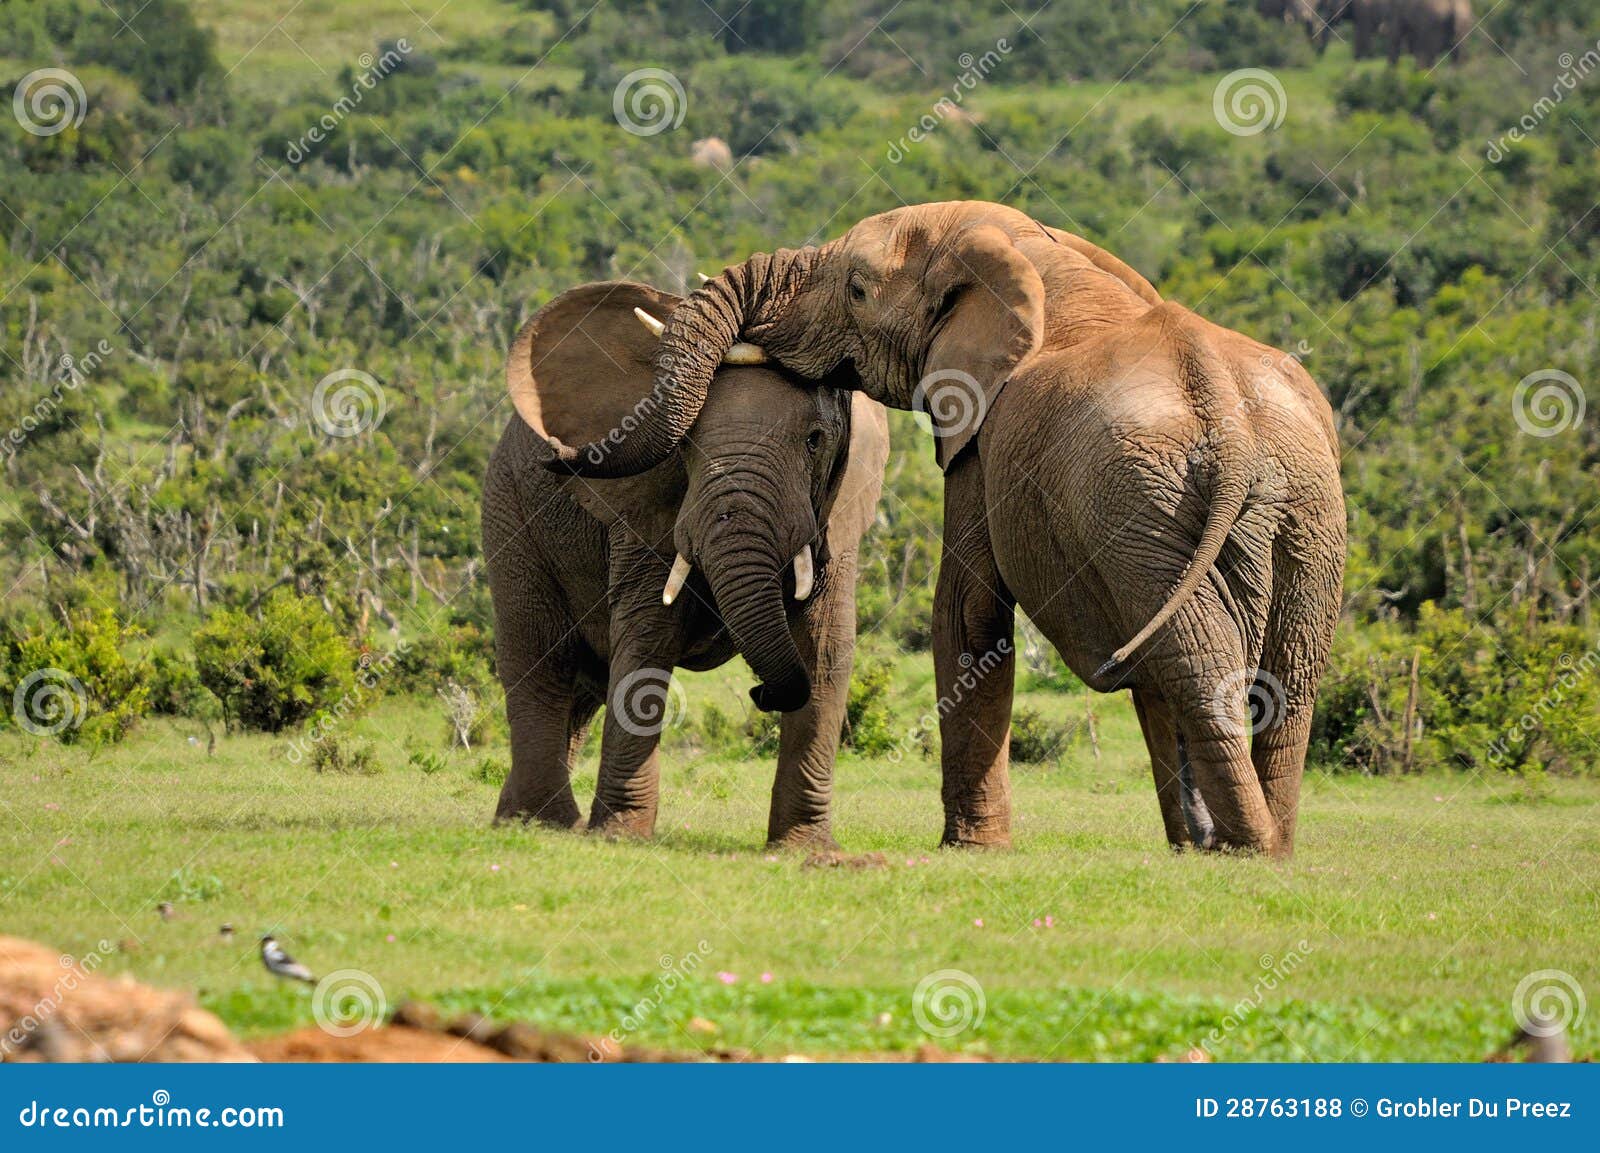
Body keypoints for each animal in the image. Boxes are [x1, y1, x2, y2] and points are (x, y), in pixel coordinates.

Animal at [480, 279, 896, 844]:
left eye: (815, 441)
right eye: (685, 446)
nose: (761, 691)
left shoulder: (838, 511)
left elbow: (827, 646)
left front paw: (806, 849)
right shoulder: (646, 510)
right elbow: (649, 636)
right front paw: (620, 837)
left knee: (583, 687)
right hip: (510, 513)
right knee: (542, 663)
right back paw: (544, 824)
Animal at [544, 204, 1344, 857]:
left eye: (856, 288)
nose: (764, 695)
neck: (1029, 248)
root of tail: (1233, 430)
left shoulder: (980, 440)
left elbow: (965, 610)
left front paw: (971, 848)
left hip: (1147, 511)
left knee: (1200, 666)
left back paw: (1244, 850)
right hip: (1301, 515)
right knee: (1285, 678)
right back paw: (1261, 848)